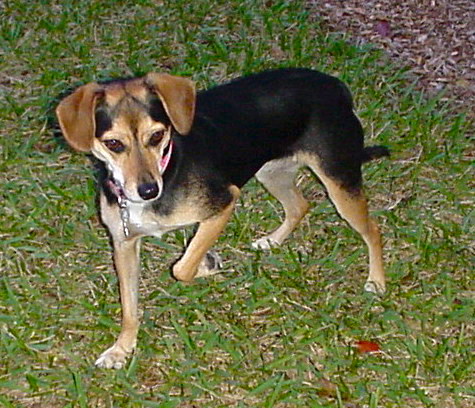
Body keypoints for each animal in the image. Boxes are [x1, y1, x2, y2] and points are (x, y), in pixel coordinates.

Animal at [55, 67, 390, 370]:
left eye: (157, 135)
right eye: (114, 144)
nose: (148, 190)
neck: (168, 166)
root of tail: (334, 85)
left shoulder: (224, 203)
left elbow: (181, 268)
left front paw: (207, 265)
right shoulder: (124, 245)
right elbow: (129, 308)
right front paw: (122, 349)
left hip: (339, 182)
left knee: (373, 230)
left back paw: (376, 281)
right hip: (272, 172)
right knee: (299, 206)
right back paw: (272, 240)